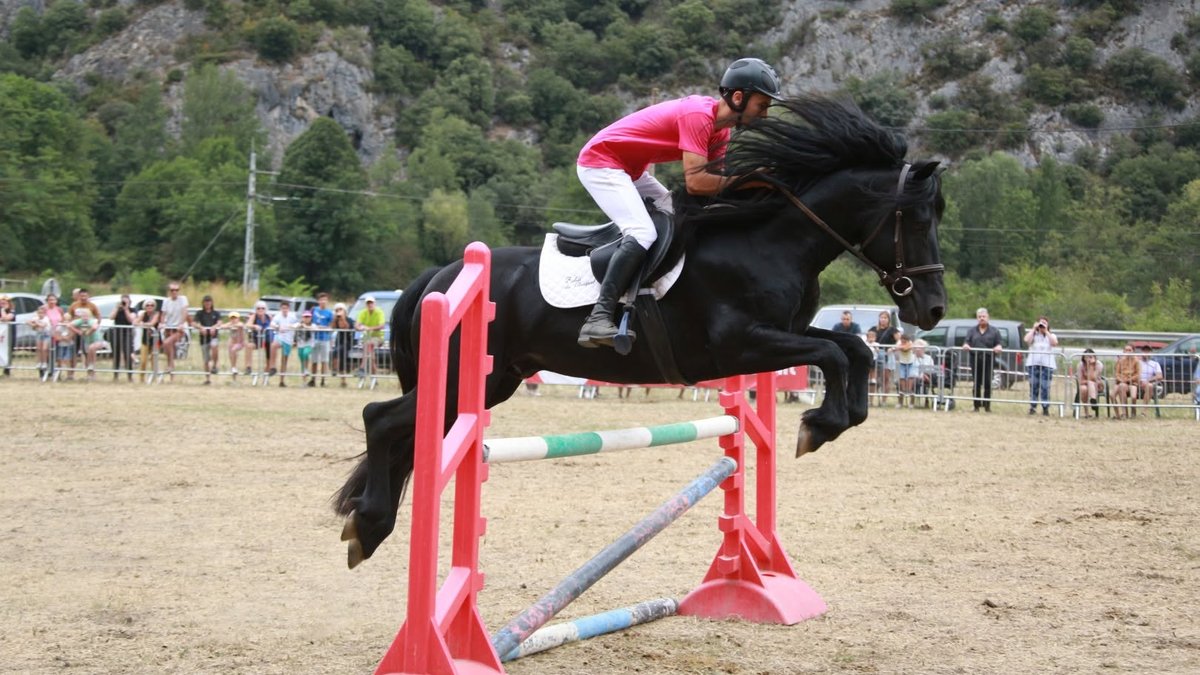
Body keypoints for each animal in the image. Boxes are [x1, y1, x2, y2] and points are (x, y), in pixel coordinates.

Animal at [335, 96, 948, 568]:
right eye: (916, 219)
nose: (935, 309)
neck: (770, 240)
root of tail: (442, 274)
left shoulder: (781, 334)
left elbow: (854, 348)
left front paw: (833, 421)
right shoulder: (742, 343)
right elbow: (834, 354)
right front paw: (818, 426)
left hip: (493, 381)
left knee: (405, 428)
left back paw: (366, 525)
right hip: (468, 377)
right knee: (381, 418)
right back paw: (369, 525)